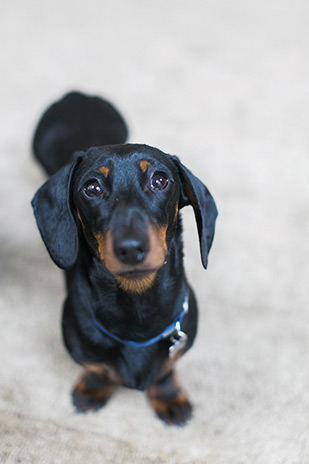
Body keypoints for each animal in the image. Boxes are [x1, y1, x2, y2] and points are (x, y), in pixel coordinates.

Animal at [31, 89, 217, 426]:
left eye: (160, 180)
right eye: (92, 187)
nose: (131, 248)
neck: (136, 303)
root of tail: (76, 94)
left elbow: (166, 370)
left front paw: (169, 397)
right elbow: (96, 368)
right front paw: (92, 389)